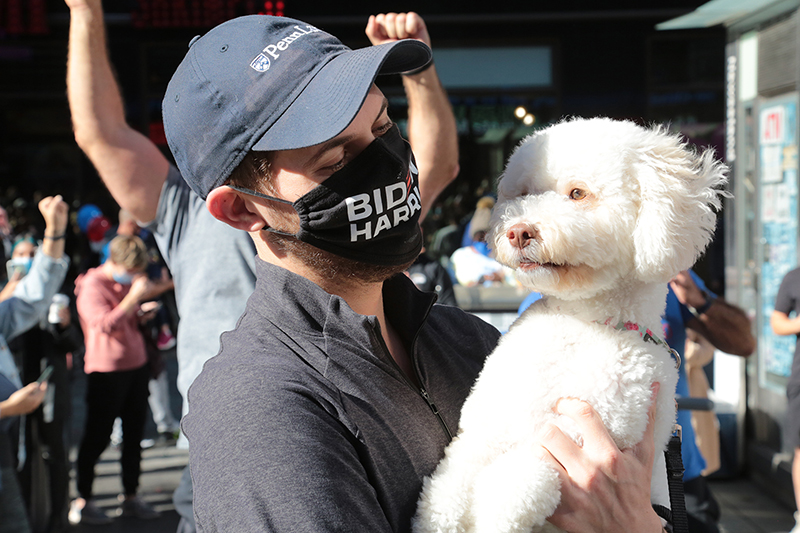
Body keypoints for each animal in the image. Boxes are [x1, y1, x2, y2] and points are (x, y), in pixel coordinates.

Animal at [416, 117, 728, 532]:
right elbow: (450, 482)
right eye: (524, 193)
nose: (519, 231)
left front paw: (495, 511)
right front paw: (439, 516)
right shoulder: (487, 426)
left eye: (577, 193)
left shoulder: (586, 435)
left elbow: (520, 486)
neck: (579, 320)